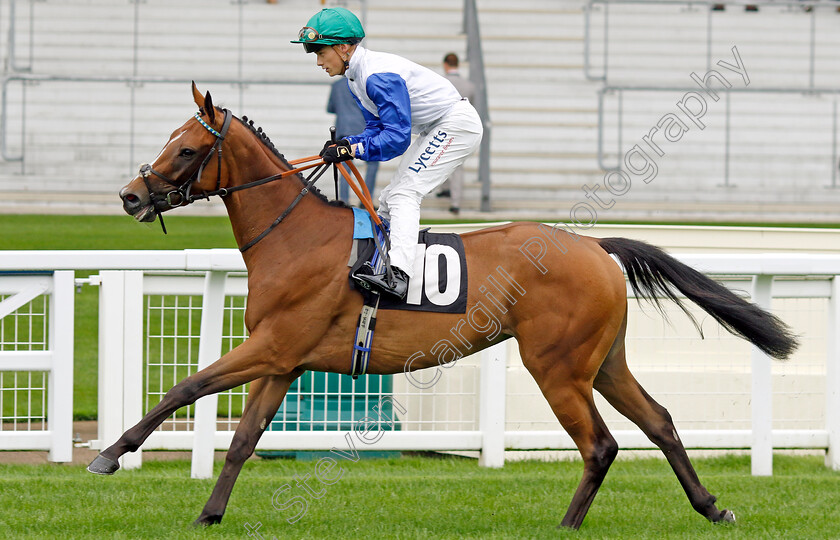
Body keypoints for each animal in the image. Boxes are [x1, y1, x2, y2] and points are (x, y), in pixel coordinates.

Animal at [90, 82, 796, 528]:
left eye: (186, 148)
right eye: (170, 139)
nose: (130, 195)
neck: (294, 238)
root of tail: (596, 247)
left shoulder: (272, 346)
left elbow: (185, 388)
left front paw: (109, 454)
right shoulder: (285, 361)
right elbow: (240, 440)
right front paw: (209, 513)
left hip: (557, 366)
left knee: (600, 446)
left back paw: (567, 525)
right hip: (604, 362)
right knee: (660, 422)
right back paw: (712, 506)